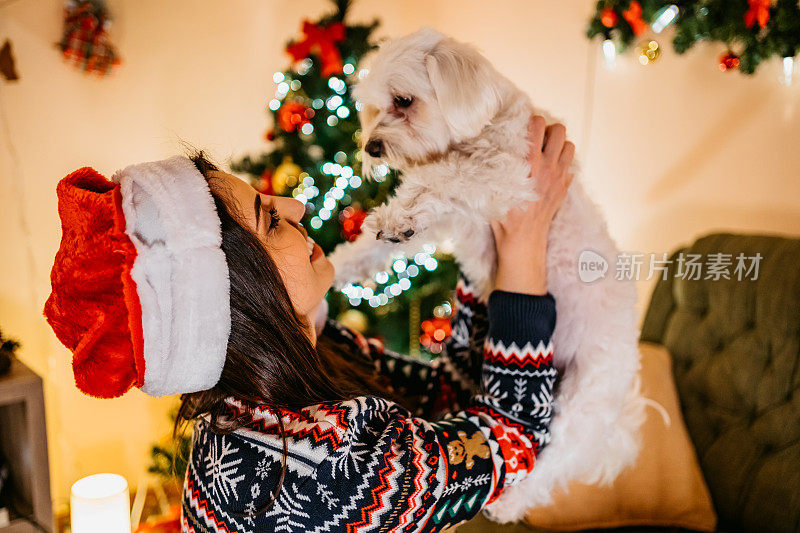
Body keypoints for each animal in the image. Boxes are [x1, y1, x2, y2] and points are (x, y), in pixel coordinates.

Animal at [328, 28, 648, 520]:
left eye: (403, 100)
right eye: (374, 106)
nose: (370, 147)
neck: (482, 128)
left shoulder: (510, 176)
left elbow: (444, 175)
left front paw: (398, 212)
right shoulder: (451, 216)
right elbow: (383, 241)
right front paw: (342, 259)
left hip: (581, 399)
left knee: (552, 459)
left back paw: (509, 503)